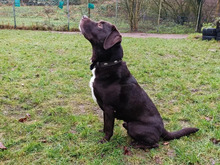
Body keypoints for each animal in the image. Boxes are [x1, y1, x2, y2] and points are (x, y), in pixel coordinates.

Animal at [79, 15, 199, 150]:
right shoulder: (105, 110)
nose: (84, 16)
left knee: (155, 143)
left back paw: (136, 145)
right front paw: (102, 132)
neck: (108, 63)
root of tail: (163, 129)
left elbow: (109, 128)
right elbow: (105, 125)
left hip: (134, 126)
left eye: (100, 25)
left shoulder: (109, 108)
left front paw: (104, 141)